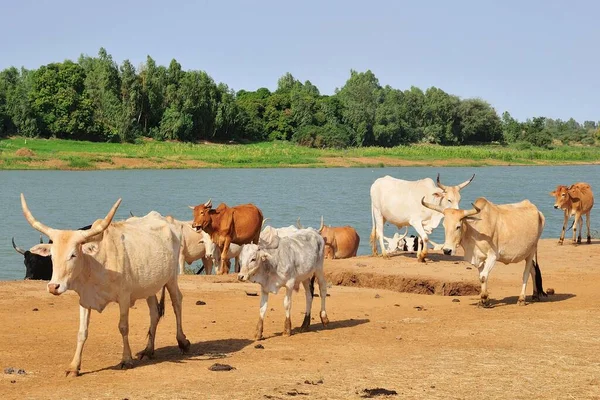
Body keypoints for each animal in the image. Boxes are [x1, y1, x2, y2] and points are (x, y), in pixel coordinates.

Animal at [20, 194, 190, 376]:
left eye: (73, 255)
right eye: (51, 255)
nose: (53, 287)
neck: (95, 264)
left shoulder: (124, 297)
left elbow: (123, 327)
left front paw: (126, 359)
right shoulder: (84, 299)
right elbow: (82, 332)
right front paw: (74, 366)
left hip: (171, 278)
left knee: (177, 302)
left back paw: (182, 341)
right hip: (149, 286)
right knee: (154, 313)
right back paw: (148, 350)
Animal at [420, 197, 548, 306]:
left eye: (458, 226)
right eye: (444, 226)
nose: (447, 250)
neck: (475, 232)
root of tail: (538, 211)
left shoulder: (492, 256)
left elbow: (483, 276)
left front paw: (485, 299)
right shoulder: (478, 258)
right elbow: (481, 277)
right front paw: (483, 299)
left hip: (531, 250)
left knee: (526, 273)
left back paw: (522, 299)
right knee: (533, 270)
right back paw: (535, 295)